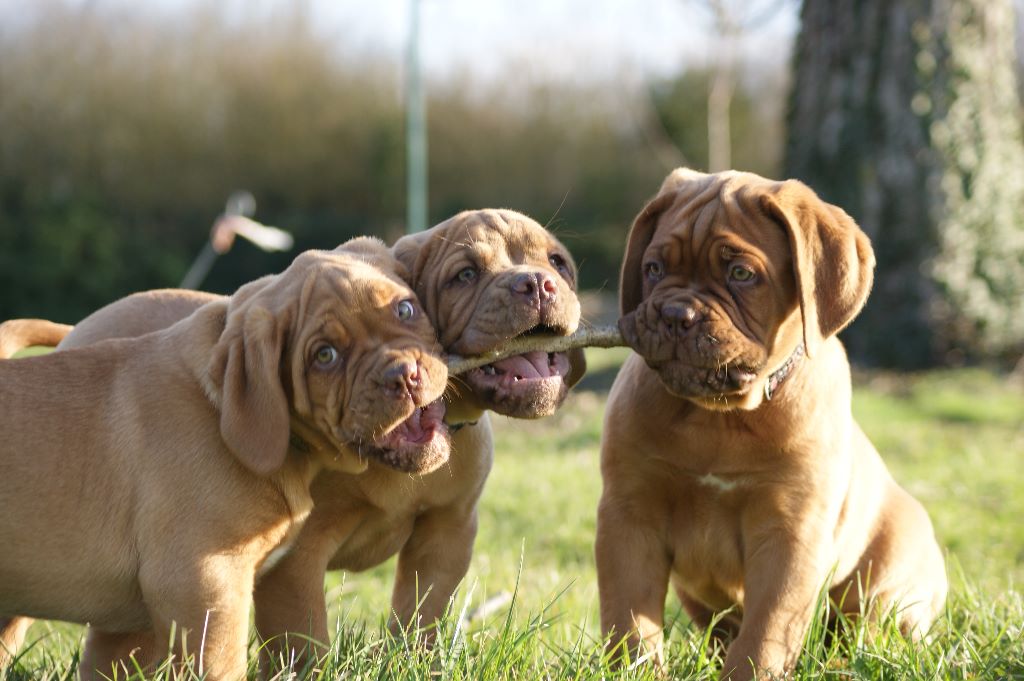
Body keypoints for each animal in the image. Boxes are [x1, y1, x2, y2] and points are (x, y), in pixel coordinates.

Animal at [0, 241, 452, 675]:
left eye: (405, 308)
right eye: (325, 356)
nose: (405, 376)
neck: (222, 411)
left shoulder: (128, 629)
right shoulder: (202, 580)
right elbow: (223, 661)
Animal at [598, 166, 946, 675]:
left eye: (741, 274)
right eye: (654, 269)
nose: (676, 314)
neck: (718, 417)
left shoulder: (791, 532)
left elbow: (767, 631)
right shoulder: (629, 514)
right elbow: (629, 620)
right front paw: (632, 671)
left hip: (886, 589)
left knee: (865, 632)